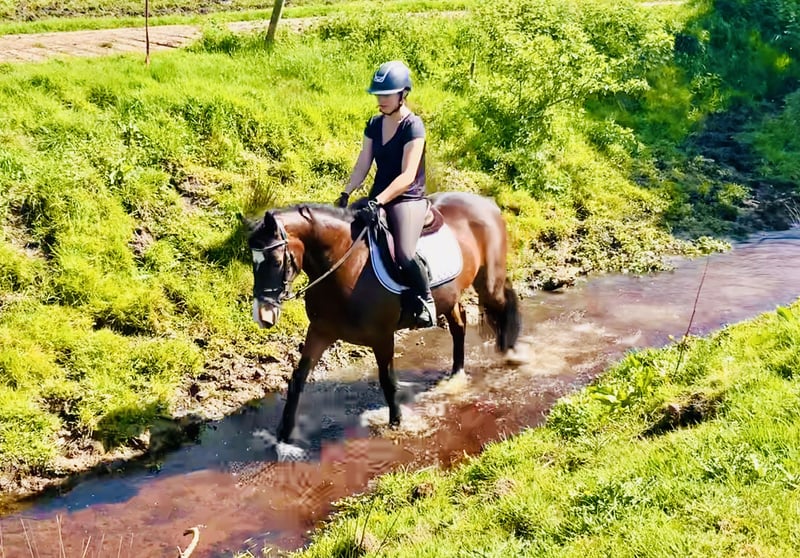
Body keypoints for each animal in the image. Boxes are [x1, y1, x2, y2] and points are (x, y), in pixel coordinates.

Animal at [248, 191, 522, 445]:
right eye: (253, 263)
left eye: (275, 261)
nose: (263, 315)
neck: (346, 265)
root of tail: (486, 202)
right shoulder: (320, 331)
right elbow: (297, 378)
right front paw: (284, 435)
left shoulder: (382, 336)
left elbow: (388, 381)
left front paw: (397, 423)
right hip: (450, 296)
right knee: (459, 325)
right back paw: (456, 374)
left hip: (488, 280)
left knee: (503, 302)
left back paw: (512, 353)